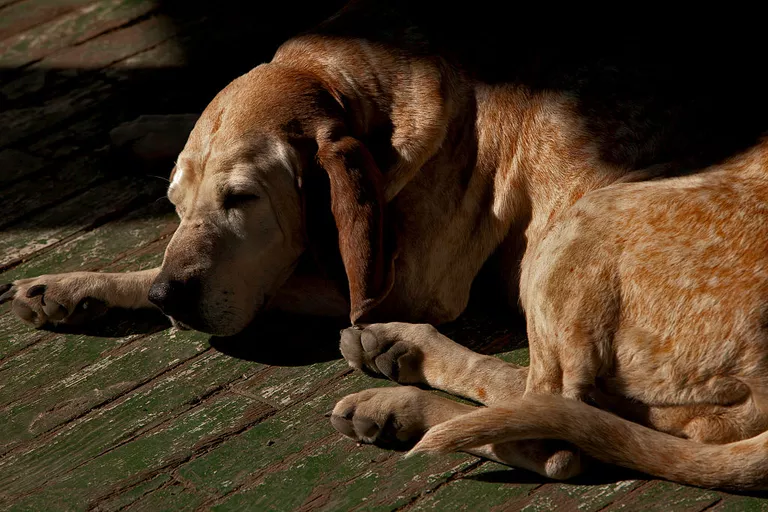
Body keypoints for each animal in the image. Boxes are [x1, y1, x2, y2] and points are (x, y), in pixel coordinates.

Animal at [4, 0, 768, 490]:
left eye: (243, 199)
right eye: (173, 201)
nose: (172, 298)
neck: (362, 81)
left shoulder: (402, 282)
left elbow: (266, 285)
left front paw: (91, 284)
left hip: (575, 229)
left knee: (555, 429)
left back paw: (399, 390)